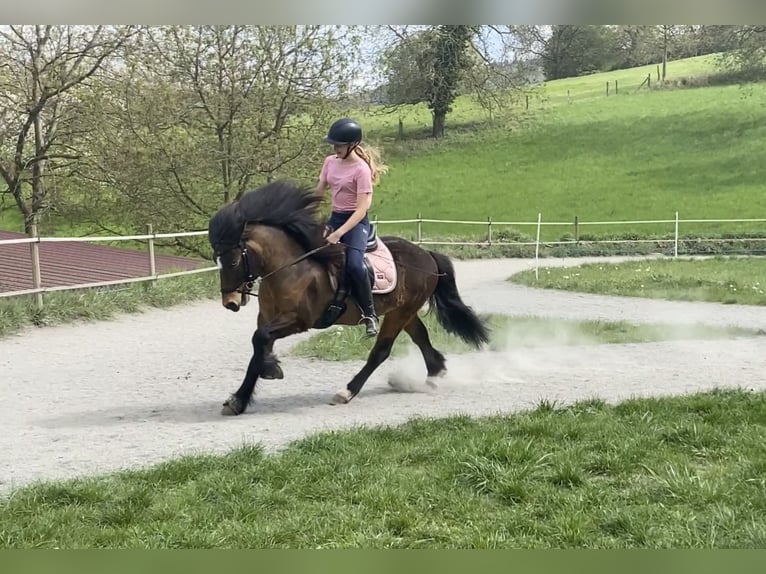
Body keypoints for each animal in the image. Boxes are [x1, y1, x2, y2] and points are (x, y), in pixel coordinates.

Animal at [206, 180, 491, 416]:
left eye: (233, 261)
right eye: (216, 260)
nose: (230, 302)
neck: (291, 268)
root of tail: (427, 256)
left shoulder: (298, 321)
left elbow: (260, 340)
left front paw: (270, 370)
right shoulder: (266, 318)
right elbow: (257, 349)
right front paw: (239, 399)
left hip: (400, 313)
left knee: (381, 350)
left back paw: (348, 391)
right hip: (403, 311)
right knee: (421, 337)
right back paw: (434, 374)